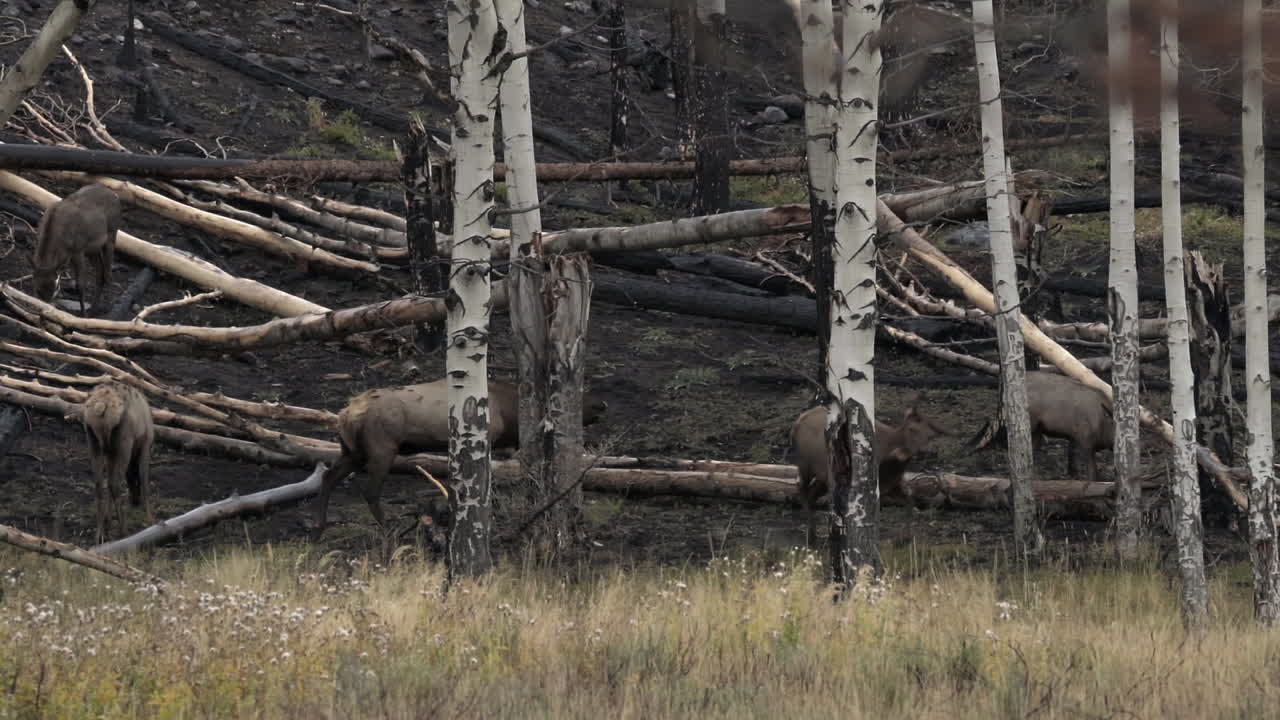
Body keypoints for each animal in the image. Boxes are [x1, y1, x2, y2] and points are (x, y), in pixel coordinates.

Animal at [31, 184, 121, 316]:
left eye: (56, 288)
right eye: (37, 289)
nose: (44, 306)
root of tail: (116, 196)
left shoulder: (78, 250)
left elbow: (80, 285)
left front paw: (83, 314)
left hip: (111, 235)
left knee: (108, 274)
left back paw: (109, 310)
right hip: (92, 249)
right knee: (100, 273)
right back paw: (93, 308)